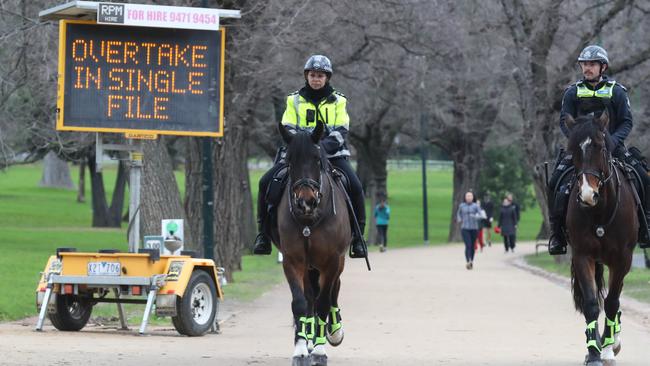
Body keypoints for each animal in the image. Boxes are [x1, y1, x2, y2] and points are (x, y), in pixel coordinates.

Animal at [268, 120, 350, 366]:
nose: (306, 202)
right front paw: (301, 350)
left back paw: (334, 332)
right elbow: (300, 303)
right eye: (289, 160)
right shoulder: (293, 261)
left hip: (336, 263)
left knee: (332, 292)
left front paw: (321, 351)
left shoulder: (332, 261)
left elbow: (324, 302)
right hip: (309, 267)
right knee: (311, 296)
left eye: (316, 159)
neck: (310, 220)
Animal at [564, 112, 636, 366]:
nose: (588, 195)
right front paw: (594, 352)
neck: (600, 212)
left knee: (615, 298)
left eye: (601, 147)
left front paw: (606, 350)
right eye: (573, 149)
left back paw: (613, 342)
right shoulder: (583, 255)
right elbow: (592, 304)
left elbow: (612, 302)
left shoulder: (622, 259)